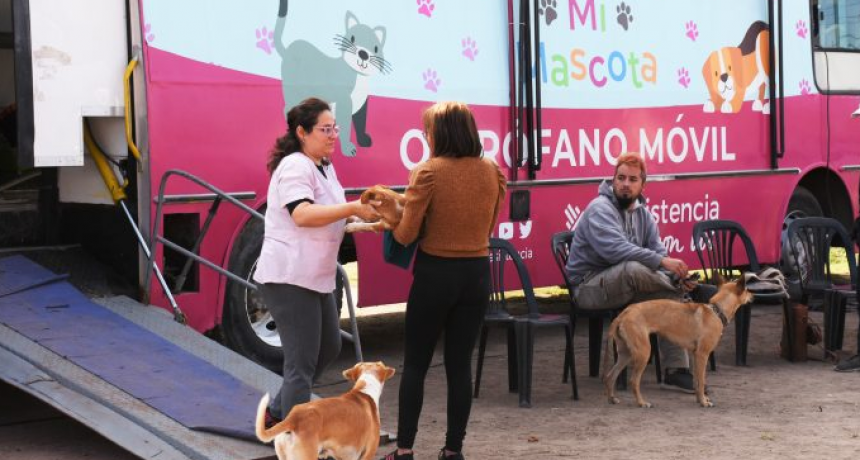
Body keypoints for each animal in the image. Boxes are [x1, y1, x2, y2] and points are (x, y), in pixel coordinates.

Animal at [604, 274, 752, 408]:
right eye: (746, 290)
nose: (753, 295)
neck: (716, 311)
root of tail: (624, 313)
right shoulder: (702, 355)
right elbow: (702, 381)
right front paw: (704, 402)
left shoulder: (696, 355)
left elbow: (697, 381)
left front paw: (700, 399)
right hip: (643, 353)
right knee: (633, 381)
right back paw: (641, 403)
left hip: (626, 354)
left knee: (610, 376)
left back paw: (612, 399)